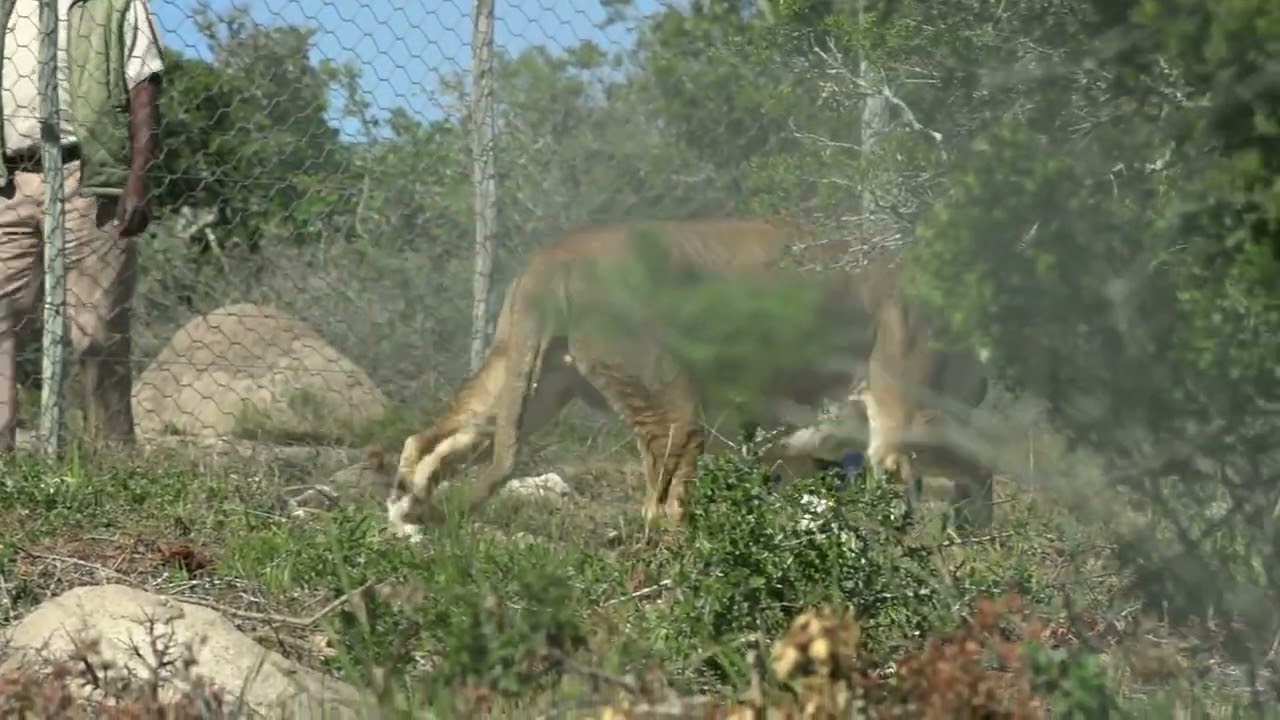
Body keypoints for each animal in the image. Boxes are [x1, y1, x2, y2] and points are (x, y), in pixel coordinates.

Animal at [387, 218, 993, 540]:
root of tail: (551, 264)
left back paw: (405, 511)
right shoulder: (901, 427)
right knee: (667, 507)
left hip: (530, 382)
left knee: (435, 437)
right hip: (671, 405)